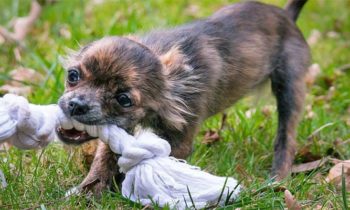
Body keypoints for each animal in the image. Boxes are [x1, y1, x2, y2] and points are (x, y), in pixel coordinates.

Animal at [56, 0, 308, 194]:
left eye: (124, 99)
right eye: (73, 75)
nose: (76, 105)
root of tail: (287, 15)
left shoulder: (180, 140)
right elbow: (104, 159)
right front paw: (88, 192)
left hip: (289, 89)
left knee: (286, 138)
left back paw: (277, 179)